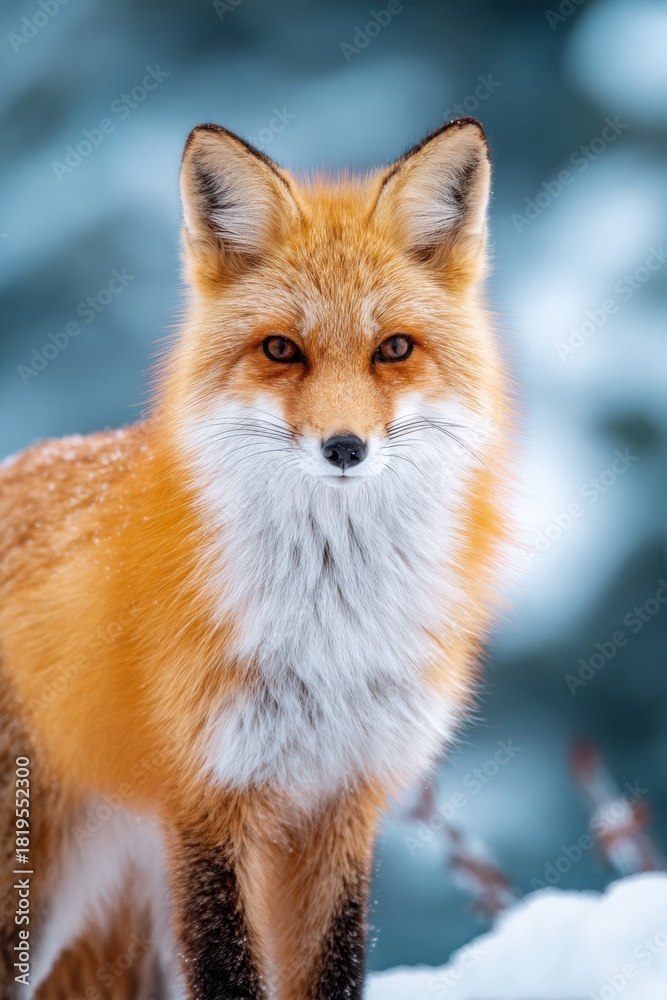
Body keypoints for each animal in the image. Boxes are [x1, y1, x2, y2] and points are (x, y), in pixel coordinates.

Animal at [0, 117, 510, 1000]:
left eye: (393, 348)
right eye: (280, 349)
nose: (345, 448)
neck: (330, 629)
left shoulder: (342, 797)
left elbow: (331, 969)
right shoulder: (208, 797)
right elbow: (231, 975)